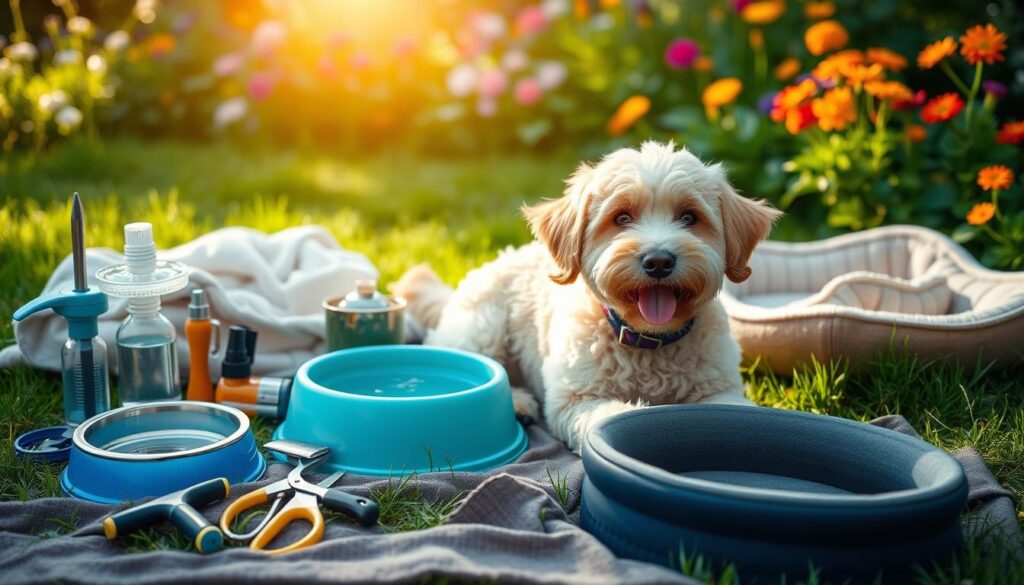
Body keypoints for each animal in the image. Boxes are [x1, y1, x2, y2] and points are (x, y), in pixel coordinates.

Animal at [395, 142, 778, 452]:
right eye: (621, 217)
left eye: (689, 216)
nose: (658, 261)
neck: (648, 342)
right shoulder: (576, 398)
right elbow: (606, 415)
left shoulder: (722, 389)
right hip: (483, 326)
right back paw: (517, 401)